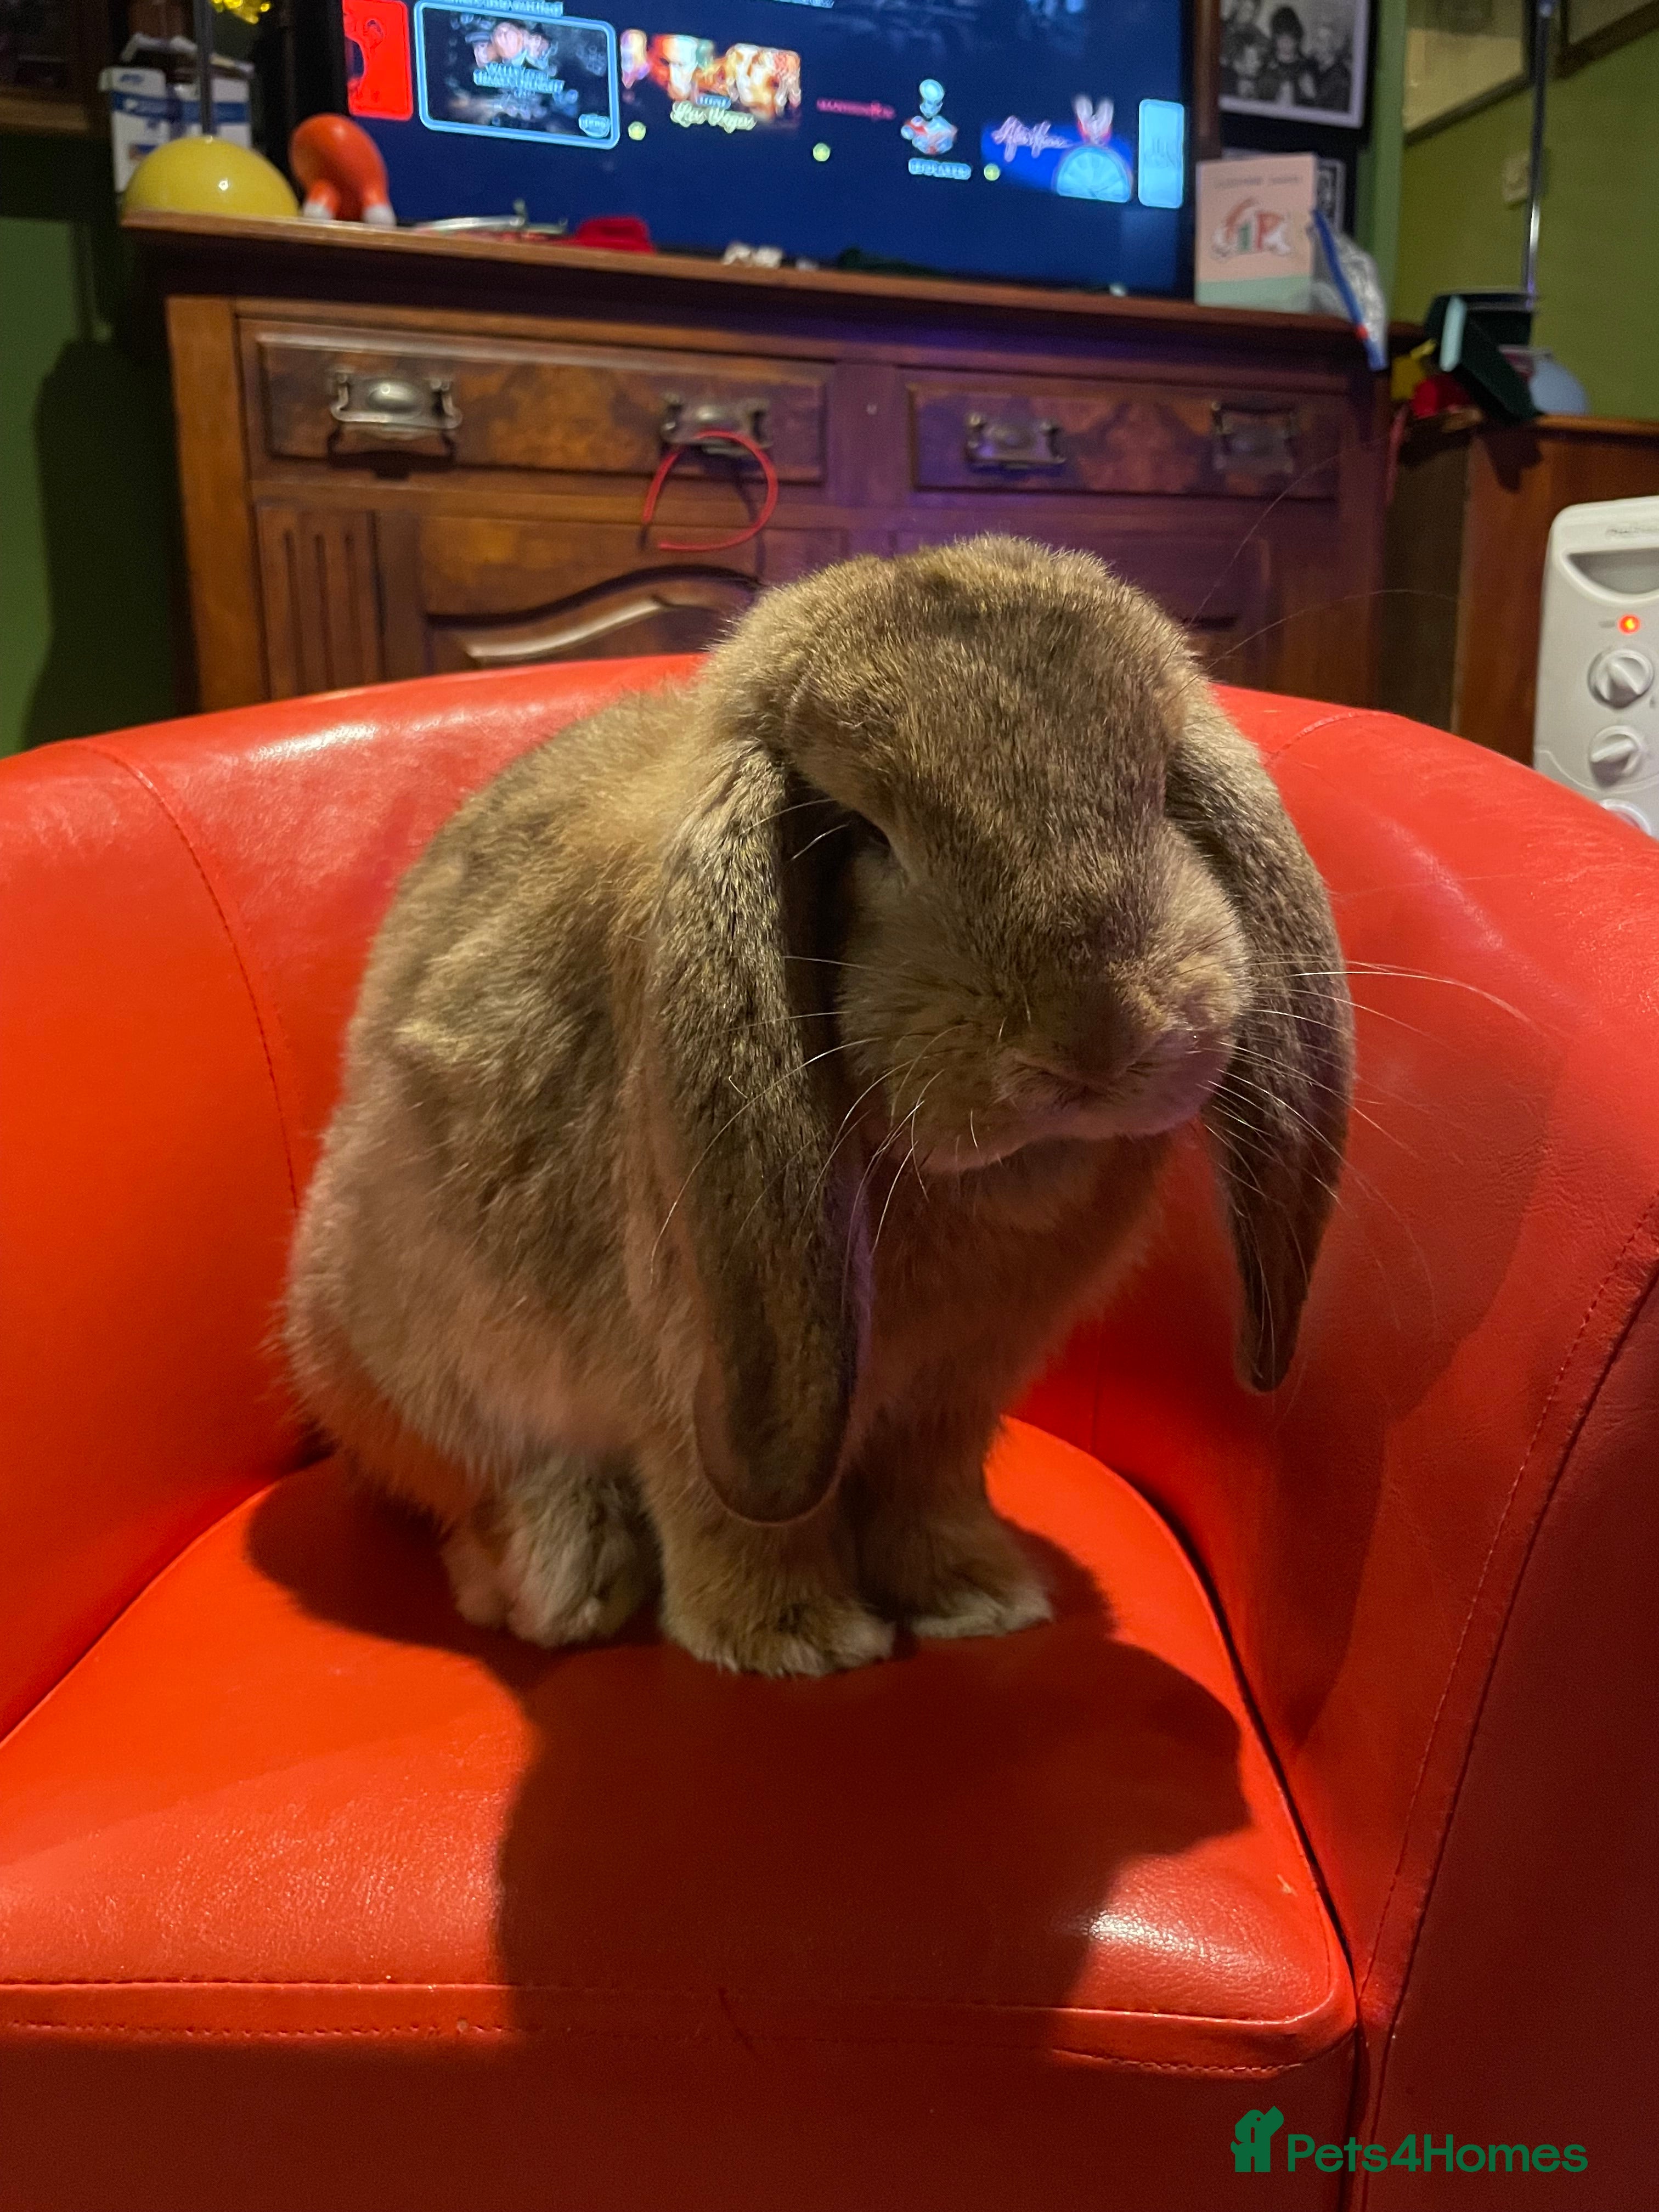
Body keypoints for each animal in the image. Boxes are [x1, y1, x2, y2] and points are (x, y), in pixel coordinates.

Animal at [285, 535, 1353, 1676]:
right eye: (855, 833)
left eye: (1156, 792)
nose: (1092, 1043)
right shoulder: (699, 1373)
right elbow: (729, 1509)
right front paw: (795, 1640)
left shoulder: (955, 1391)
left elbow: (929, 1490)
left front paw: (977, 1599)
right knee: (483, 1484)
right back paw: (564, 1584)